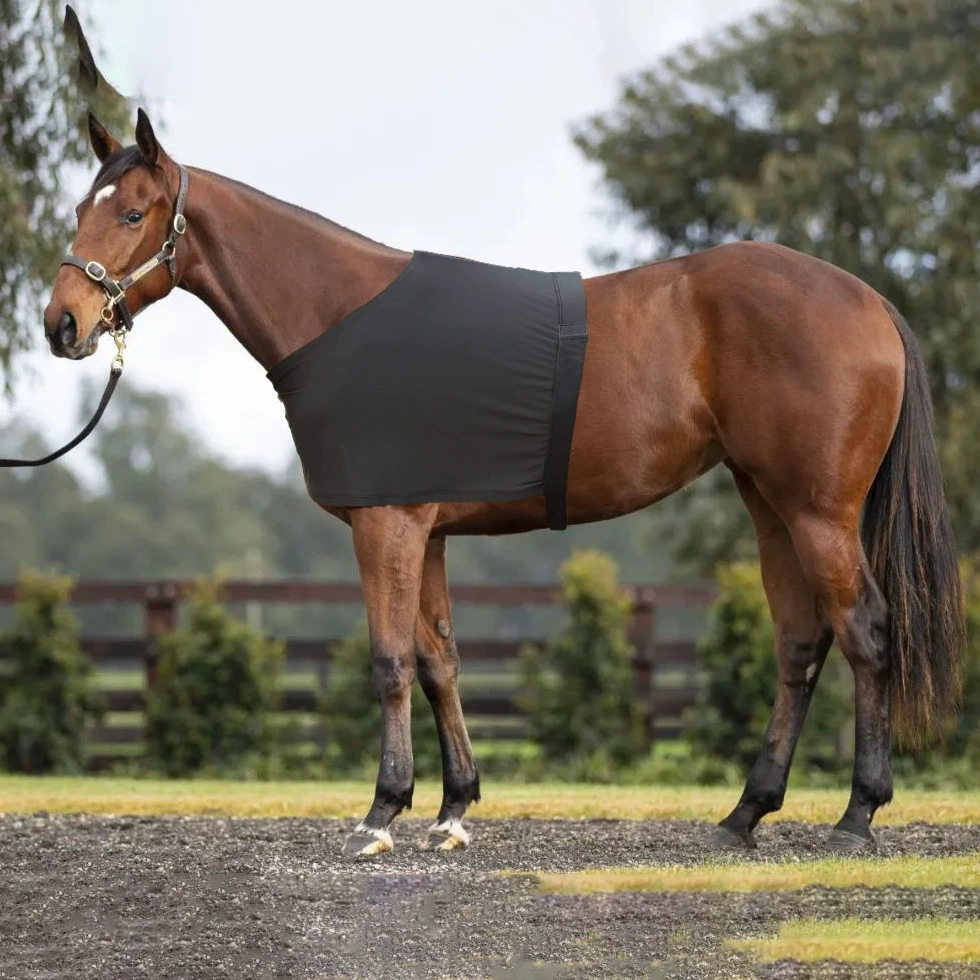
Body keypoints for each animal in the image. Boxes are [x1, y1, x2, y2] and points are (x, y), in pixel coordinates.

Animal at [43, 109, 964, 856]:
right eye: (82, 208)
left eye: (131, 213)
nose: (62, 324)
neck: (339, 314)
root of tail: (869, 301)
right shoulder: (429, 532)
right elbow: (439, 659)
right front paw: (454, 809)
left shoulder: (386, 524)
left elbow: (389, 660)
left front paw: (383, 812)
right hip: (769, 503)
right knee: (801, 642)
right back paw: (745, 813)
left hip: (819, 512)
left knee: (865, 632)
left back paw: (856, 816)